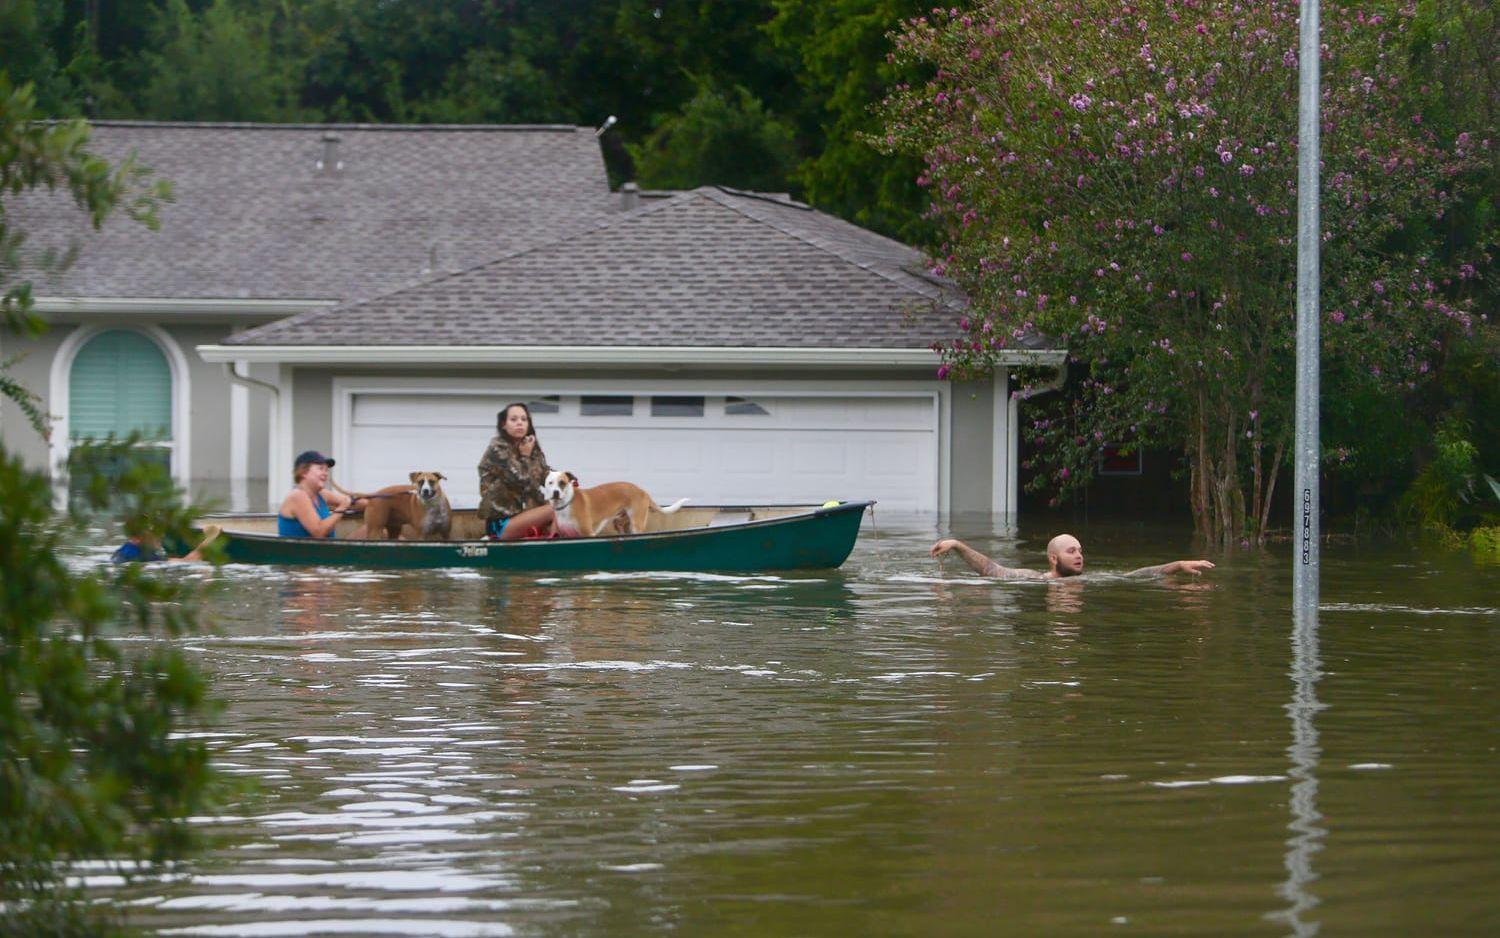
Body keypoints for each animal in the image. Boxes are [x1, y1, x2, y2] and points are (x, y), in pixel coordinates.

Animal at [543, 468, 687, 534]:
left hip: (636, 523)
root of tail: (642, 490)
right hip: (620, 521)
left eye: (562, 483)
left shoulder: (587, 533)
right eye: (550, 483)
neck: (566, 504)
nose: (555, 493)